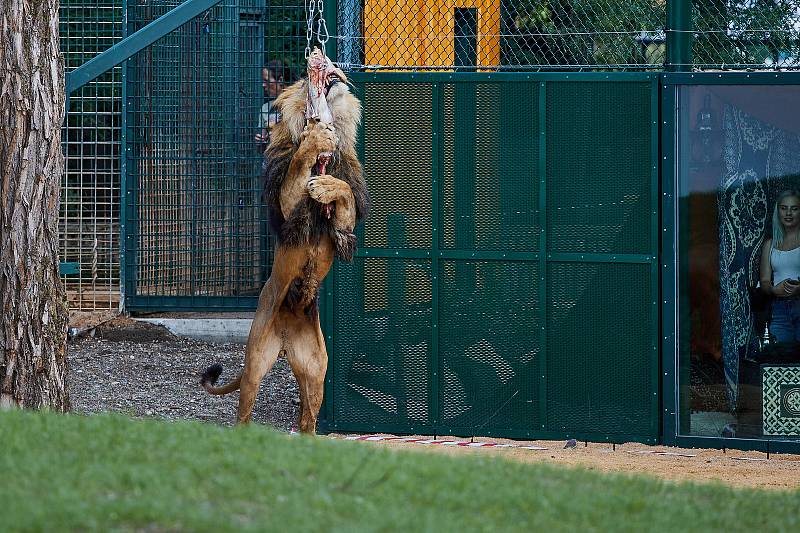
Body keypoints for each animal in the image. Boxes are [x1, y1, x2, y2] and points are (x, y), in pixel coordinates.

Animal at [200, 60, 368, 432]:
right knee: (244, 412)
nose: (327, 64)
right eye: (306, 79)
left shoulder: (345, 228)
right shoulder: (287, 212)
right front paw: (313, 141)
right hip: (254, 362)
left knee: (308, 420)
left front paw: (327, 186)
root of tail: (284, 344)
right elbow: (297, 168)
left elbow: (346, 195)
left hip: (317, 370)